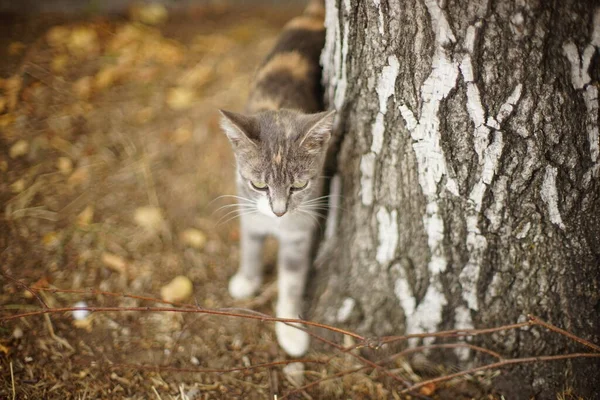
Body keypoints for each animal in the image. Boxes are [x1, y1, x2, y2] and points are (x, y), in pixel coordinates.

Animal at [219, 0, 332, 356]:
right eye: (258, 184)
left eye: (300, 185)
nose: (279, 211)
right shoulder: (247, 209)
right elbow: (250, 247)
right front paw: (247, 279)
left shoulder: (300, 233)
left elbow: (293, 282)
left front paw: (291, 329)